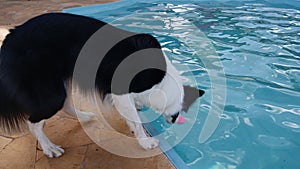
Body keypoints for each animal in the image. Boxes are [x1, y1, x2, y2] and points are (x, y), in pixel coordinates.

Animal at [0, 12, 204, 157]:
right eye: (179, 112)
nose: (175, 121)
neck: (162, 81)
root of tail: (10, 36)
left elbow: (131, 114)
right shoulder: (121, 91)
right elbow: (137, 121)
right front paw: (146, 142)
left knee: (65, 105)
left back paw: (84, 116)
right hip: (51, 94)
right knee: (33, 122)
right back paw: (50, 148)